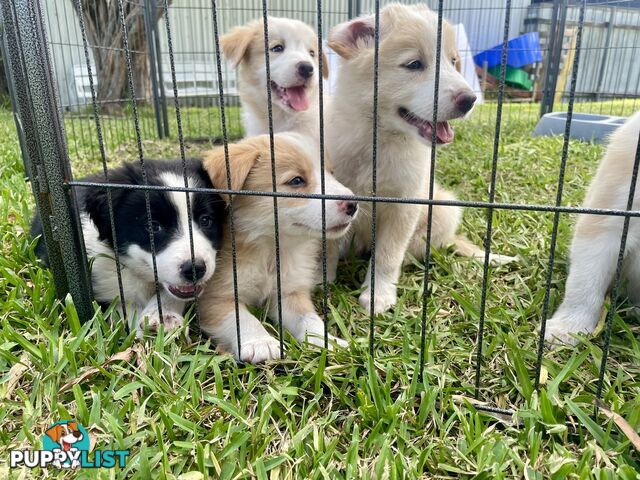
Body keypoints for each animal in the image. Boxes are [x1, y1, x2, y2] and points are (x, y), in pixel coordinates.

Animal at [200, 133, 358, 362]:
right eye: (296, 181)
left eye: (331, 173)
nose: (353, 204)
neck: (272, 249)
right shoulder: (215, 296)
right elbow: (241, 318)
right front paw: (261, 342)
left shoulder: (289, 293)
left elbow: (310, 320)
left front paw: (329, 342)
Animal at [324, 4, 516, 316]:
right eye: (414, 64)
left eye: (453, 61)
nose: (470, 100)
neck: (379, 141)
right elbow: (327, 245)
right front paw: (322, 281)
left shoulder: (405, 204)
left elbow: (388, 255)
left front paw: (378, 296)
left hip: (443, 210)